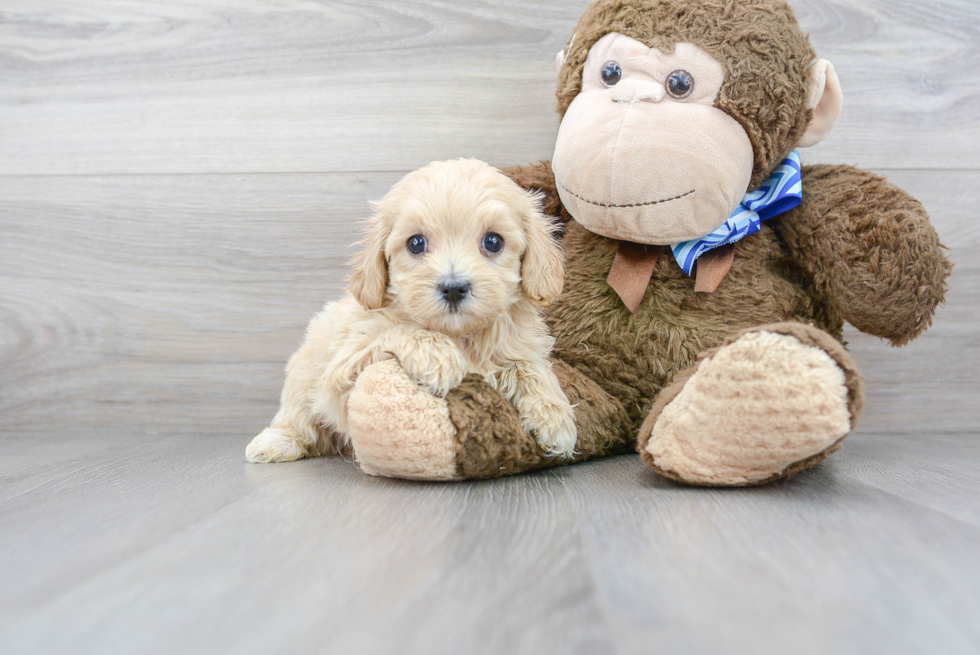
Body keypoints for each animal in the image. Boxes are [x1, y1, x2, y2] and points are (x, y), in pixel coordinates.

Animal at [245, 160, 580, 466]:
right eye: (416, 243)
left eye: (493, 241)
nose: (454, 288)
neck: (459, 334)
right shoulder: (344, 369)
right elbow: (402, 330)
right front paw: (439, 357)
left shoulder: (517, 346)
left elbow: (529, 366)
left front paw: (555, 417)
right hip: (303, 374)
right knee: (298, 417)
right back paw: (275, 443)